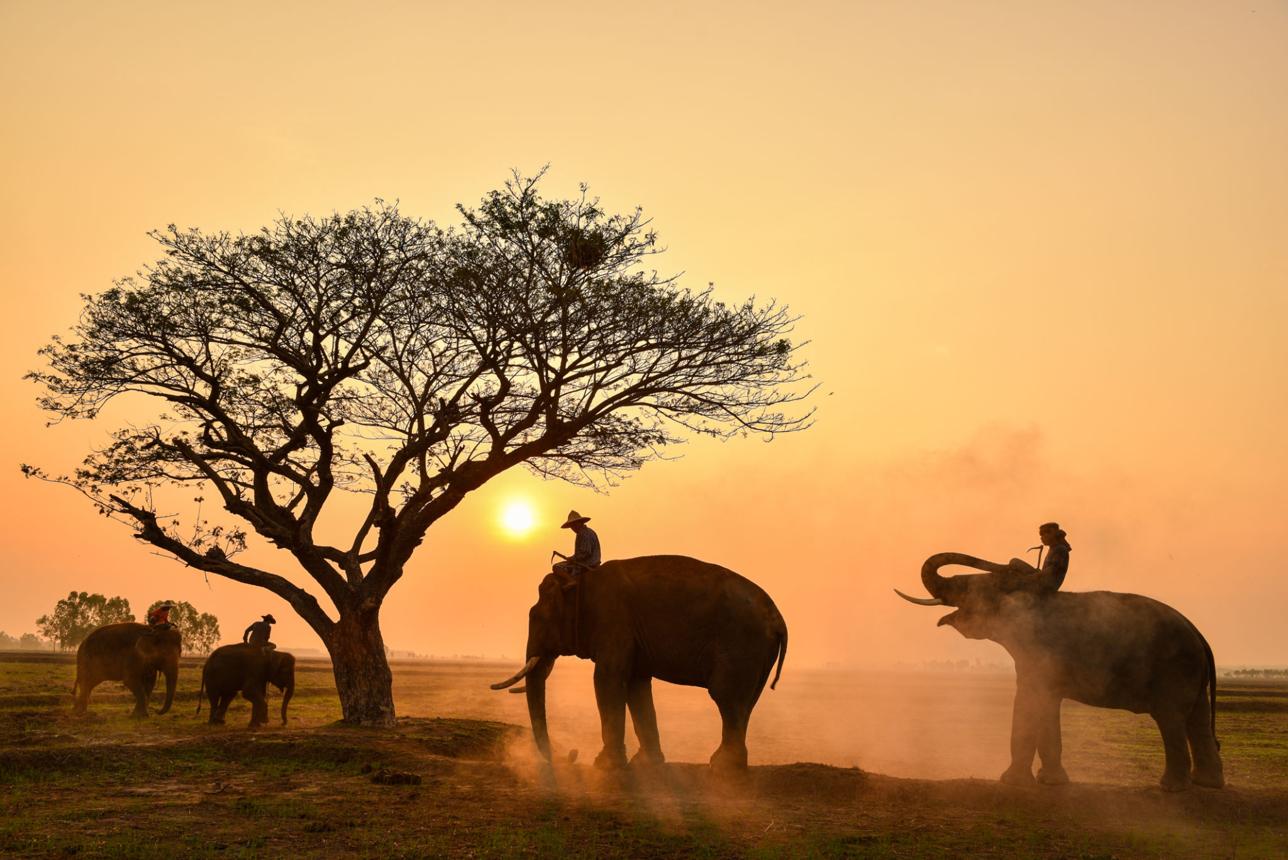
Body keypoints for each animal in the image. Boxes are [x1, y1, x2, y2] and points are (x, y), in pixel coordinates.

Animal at [491, 555, 788, 771]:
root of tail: (778, 618)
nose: (572, 755)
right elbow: (636, 686)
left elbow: (607, 679)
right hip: (758, 655)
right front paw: (645, 763)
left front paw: (605, 765)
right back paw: (725, 764)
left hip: (740, 645)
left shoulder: (613, 621)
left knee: (727, 699)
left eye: (539, 617)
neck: (581, 579)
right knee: (744, 703)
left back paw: (723, 768)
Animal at [896, 552, 1224, 791]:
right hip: (1192, 674)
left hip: (1175, 669)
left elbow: (1028, 702)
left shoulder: (1039, 653)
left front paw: (1012, 782)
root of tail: (1198, 633)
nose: (1013, 561)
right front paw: (1050, 782)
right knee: (1197, 721)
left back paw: (1172, 788)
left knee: (1171, 720)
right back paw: (1207, 785)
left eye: (978, 587)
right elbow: (1046, 705)